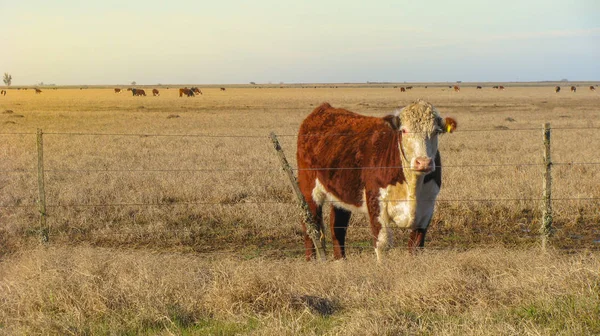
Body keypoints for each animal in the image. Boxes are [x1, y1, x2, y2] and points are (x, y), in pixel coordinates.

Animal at [298, 100, 458, 262]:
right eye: (404, 131)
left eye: (436, 131)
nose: (423, 162)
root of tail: (323, 108)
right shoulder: (376, 201)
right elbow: (383, 244)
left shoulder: (427, 208)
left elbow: (416, 246)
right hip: (308, 188)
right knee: (310, 224)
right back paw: (311, 260)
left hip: (341, 191)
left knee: (337, 225)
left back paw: (341, 261)